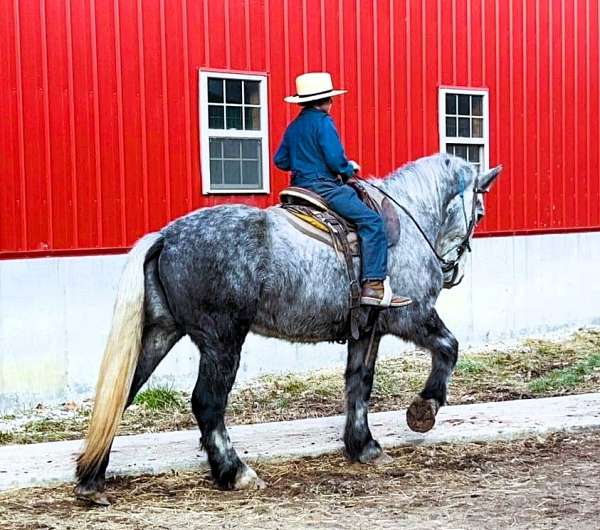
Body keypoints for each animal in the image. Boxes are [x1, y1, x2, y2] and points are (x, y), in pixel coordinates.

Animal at [75, 154, 502, 504]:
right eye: (479, 213)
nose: (453, 271)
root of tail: (166, 237)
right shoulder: (411, 316)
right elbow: (448, 346)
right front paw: (424, 408)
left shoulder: (367, 332)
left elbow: (359, 383)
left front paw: (362, 445)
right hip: (221, 341)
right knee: (207, 403)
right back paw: (235, 472)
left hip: (161, 334)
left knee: (121, 395)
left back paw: (91, 478)